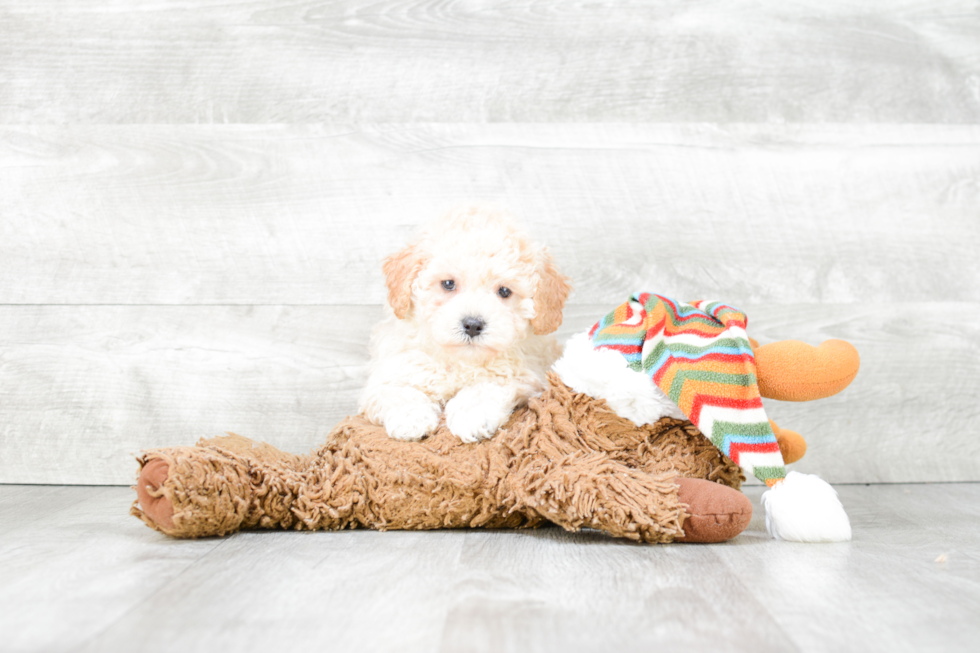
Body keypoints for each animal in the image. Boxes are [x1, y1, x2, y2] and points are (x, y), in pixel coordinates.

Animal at [360, 206, 576, 440]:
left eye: (504, 291)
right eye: (448, 284)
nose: (473, 325)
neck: (460, 361)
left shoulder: (526, 375)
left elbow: (488, 385)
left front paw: (471, 415)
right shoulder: (393, 367)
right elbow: (396, 389)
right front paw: (410, 419)